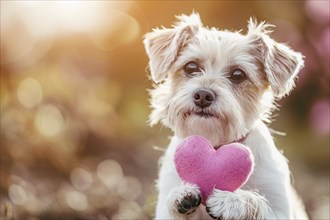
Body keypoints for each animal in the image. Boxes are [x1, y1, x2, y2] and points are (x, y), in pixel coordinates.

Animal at [143, 12, 308, 219]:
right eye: (191, 67)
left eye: (238, 74)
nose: (203, 95)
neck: (217, 144)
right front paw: (180, 195)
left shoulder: (280, 208)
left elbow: (257, 202)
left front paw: (232, 201)